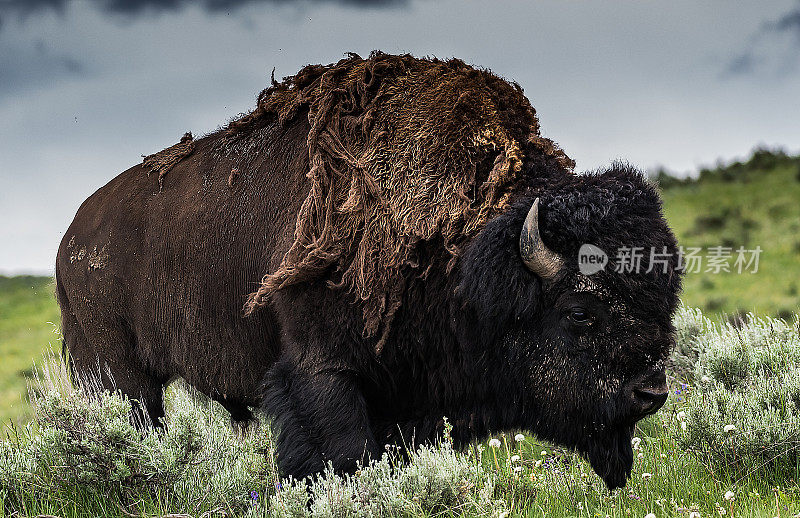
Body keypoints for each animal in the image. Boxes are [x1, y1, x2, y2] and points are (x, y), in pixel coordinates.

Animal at [56, 52, 680, 492]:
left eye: (664, 302)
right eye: (580, 313)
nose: (651, 391)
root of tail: (72, 240)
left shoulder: (406, 398)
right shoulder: (324, 374)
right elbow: (344, 456)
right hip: (117, 374)